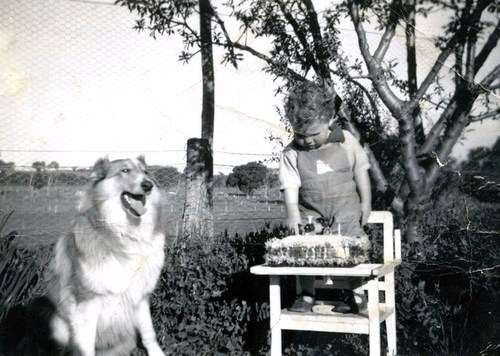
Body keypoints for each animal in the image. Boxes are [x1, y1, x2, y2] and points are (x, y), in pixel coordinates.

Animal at [45, 158, 166, 356]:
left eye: (146, 172)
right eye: (125, 170)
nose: (148, 185)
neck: (125, 234)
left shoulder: (140, 296)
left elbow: (149, 333)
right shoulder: (88, 300)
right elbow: (85, 345)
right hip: (58, 324)